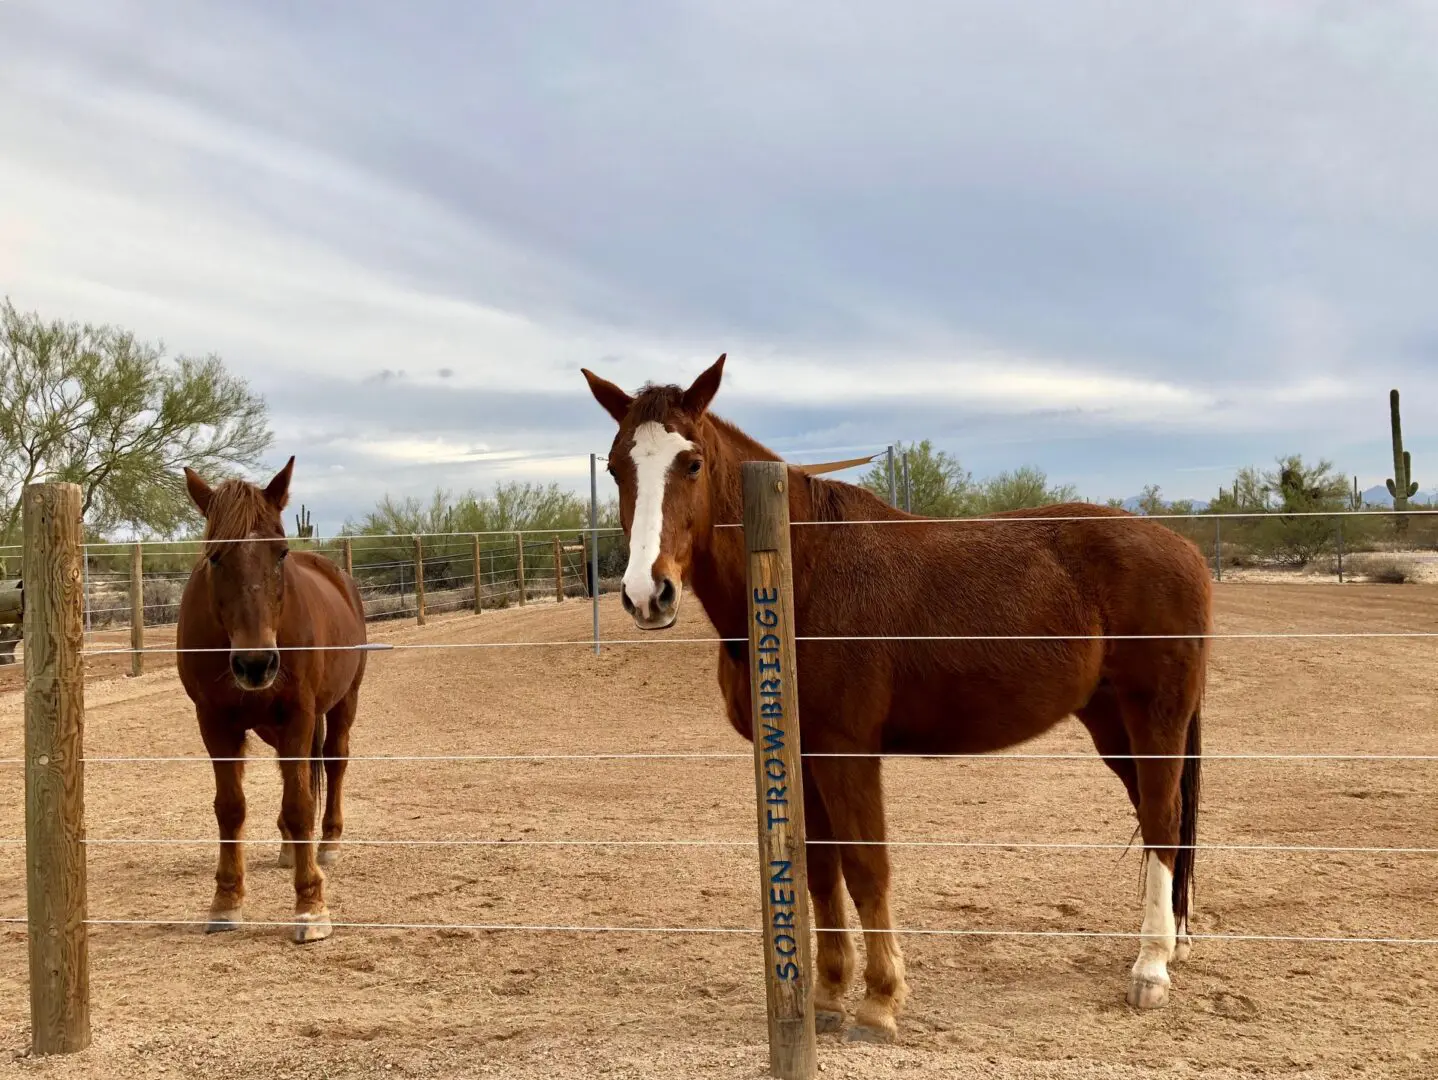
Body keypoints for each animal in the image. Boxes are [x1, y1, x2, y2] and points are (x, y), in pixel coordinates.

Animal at [176, 460, 368, 943]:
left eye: (280, 553)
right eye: (214, 556)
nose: (256, 663)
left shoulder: (299, 714)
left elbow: (300, 805)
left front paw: (310, 906)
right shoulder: (214, 722)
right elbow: (230, 807)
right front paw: (226, 901)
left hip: (343, 702)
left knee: (335, 761)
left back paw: (328, 842)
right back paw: (287, 847)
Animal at [583, 359, 1213, 1041]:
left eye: (692, 462)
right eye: (617, 466)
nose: (648, 593)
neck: (799, 573)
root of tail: (1184, 548)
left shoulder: (848, 751)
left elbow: (866, 867)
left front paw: (879, 1001)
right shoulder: (803, 754)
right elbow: (820, 870)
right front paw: (828, 996)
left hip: (1155, 717)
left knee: (1162, 819)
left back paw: (1150, 968)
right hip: (1111, 723)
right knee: (1163, 818)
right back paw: (1174, 942)